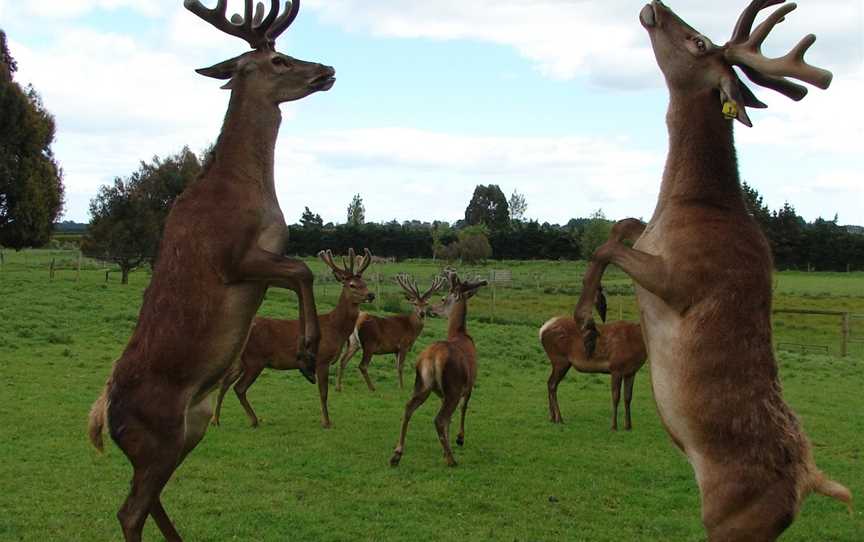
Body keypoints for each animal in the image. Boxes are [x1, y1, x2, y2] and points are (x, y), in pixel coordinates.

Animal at [85, 2, 334, 540]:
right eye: (279, 60)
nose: (327, 69)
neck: (249, 191)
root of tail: (103, 419)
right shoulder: (234, 258)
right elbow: (303, 270)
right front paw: (307, 353)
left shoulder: (261, 265)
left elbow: (300, 272)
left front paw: (307, 353)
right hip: (158, 434)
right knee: (129, 508)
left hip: (189, 430)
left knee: (149, 498)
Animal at [213, 249, 374, 432]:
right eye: (352, 284)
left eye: (364, 281)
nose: (371, 294)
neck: (335, 329)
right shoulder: (322, 359)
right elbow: (323, 392)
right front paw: (326, 422)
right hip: (255, 359)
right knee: (239, 388)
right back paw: (253, 420)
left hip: (241, 360)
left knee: (224, 383)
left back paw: (216, 420)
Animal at [390, 270, 486, 470]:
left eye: (442, 299)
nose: (430, 309)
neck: (460, 334)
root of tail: (432, 357)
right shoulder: (470, 384)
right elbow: (463, 409)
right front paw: (459, 439)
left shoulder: (442, 393)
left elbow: (450, 420)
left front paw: (445, 446)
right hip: (453, 386)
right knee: (439, 418)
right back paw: (451, 459)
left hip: (421, 383)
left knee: (408, 407)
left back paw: (397, 454)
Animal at [544, 284, 644, 434]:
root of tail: (542, 330)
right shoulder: (616, 368)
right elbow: (616, 397)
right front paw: (614, 426)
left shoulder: (631, 371)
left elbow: (628, 398)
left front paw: (628, 426)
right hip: (559, 360)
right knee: (552, 384)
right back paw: (559, 418)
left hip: (560, 362)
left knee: (550, 383)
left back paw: (552, 417)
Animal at [572, 2, 852, 540]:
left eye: (699, 42)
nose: (655, 8)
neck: (690, 203)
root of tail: (809, 481)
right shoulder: (650, 239)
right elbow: (621, 227)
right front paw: (592, 308)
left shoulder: (683, 280)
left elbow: (605, 248)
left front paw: (586, 316)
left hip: (732, 518)